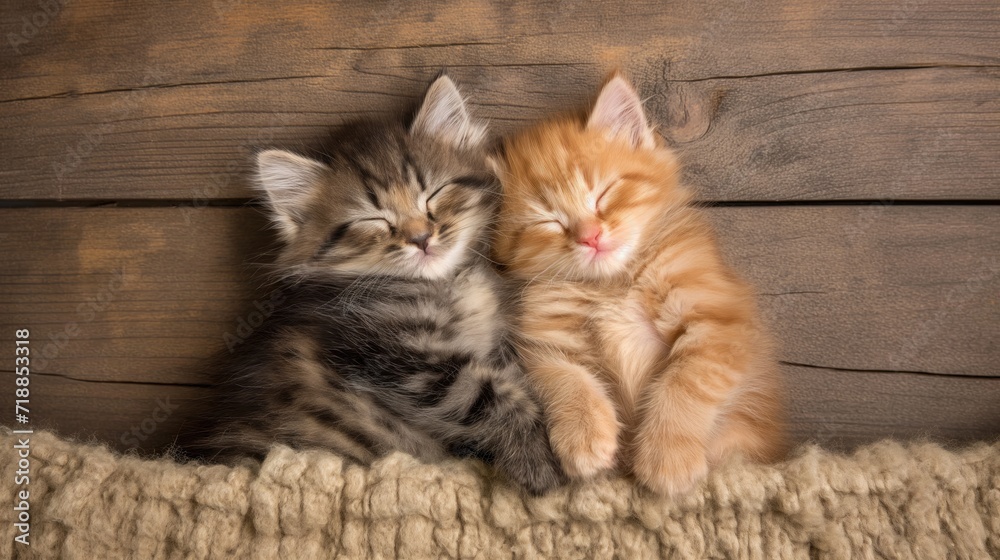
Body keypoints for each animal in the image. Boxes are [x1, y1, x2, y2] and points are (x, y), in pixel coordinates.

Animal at [200, 75, 568, 494]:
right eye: (373, 219)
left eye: (434, 194)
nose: (421, 238)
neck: (446, 282)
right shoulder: (394, 358)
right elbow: (487, 396)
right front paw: (538, 464)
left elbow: (513, 378)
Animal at [496, 74, 784, 494]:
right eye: (549, 221)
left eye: (603, 194)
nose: (591, 237)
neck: (614, 284)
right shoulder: (543, 342)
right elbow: (566, 379)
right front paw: (585, 438)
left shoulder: (717, 321)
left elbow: (685, 384)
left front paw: (668, 457)